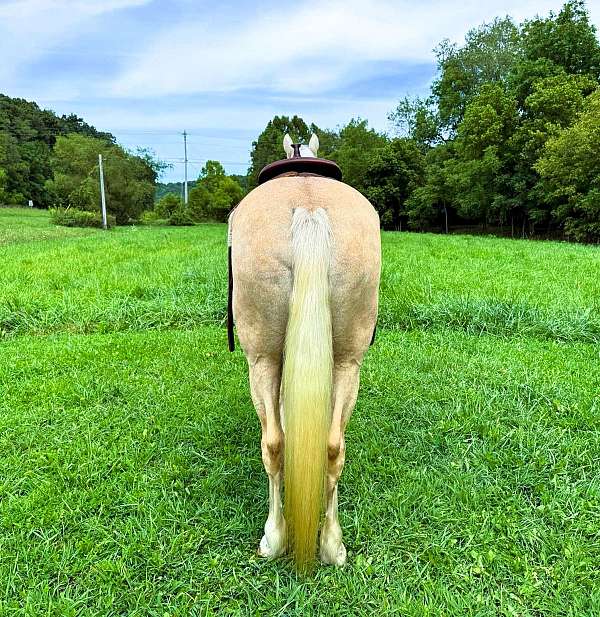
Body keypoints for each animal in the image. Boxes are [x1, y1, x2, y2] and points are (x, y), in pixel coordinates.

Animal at [230, 134, 380, 568]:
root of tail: (310, 210)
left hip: (261, 358)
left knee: (274, 444)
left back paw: (273, 537)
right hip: (347, 360)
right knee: (332, 447)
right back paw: (332, 544)